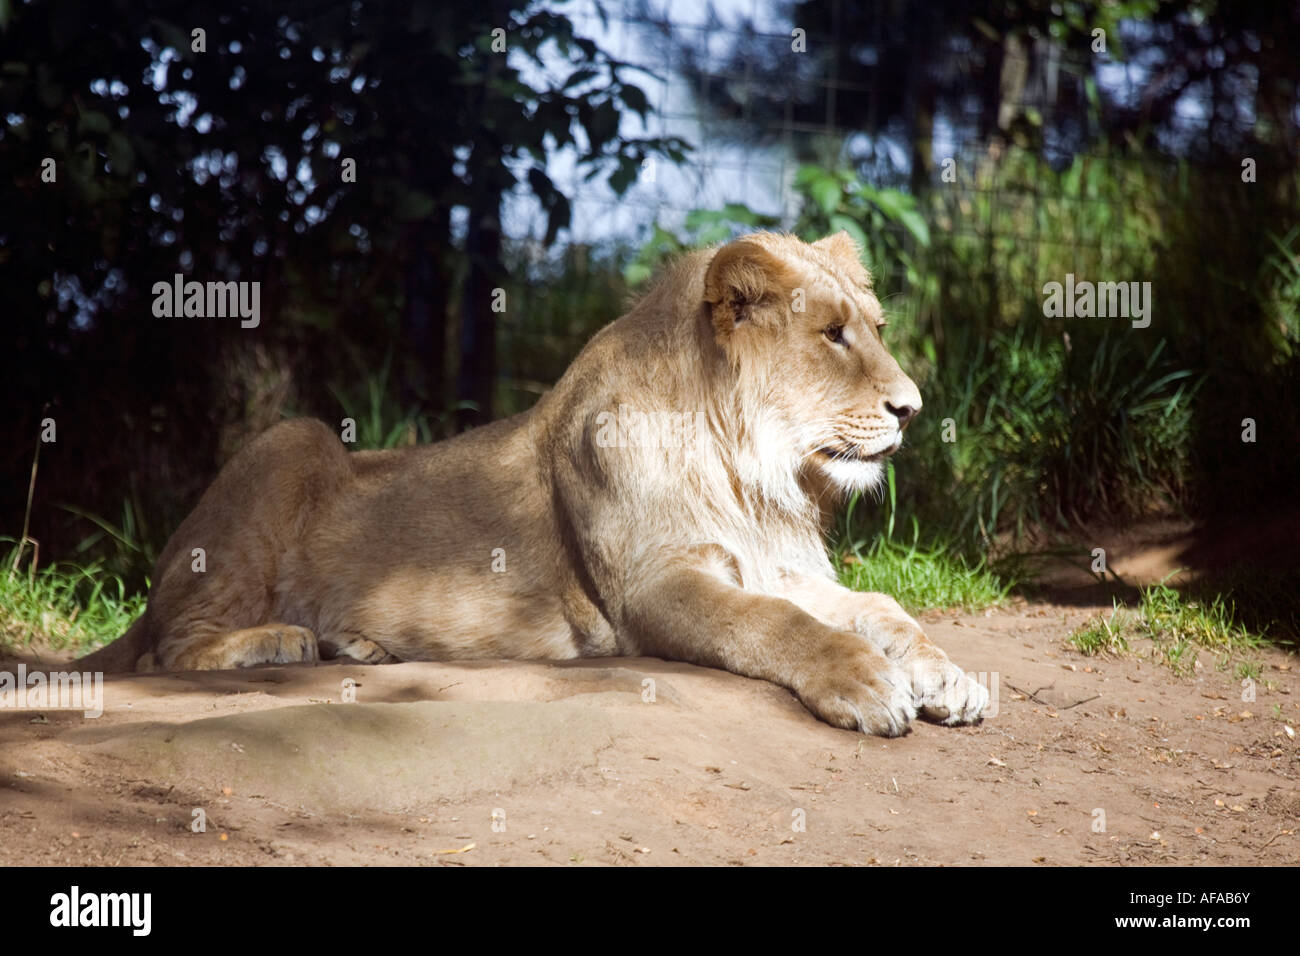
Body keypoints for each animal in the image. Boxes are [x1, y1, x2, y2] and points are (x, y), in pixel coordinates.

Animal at [81, 234, 982, 738]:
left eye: (875, 328)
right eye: (832, 335)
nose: (913, 408)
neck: (747, 469)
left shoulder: (778, 565)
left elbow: (883, 610)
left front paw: (950, 677)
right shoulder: (657, 586)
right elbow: (773, 625)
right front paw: (865, 682)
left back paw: (356, 645)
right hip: (290, 439)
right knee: (164, 649)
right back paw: (280, 641)